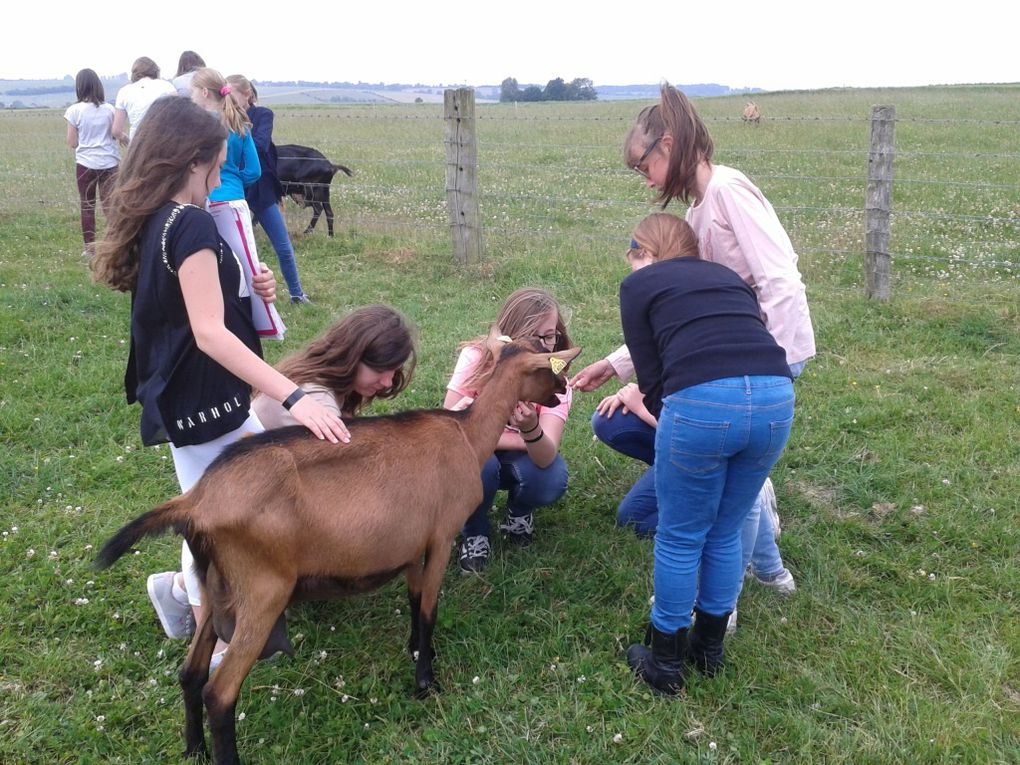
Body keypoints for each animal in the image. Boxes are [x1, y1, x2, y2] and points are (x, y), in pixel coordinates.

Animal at [95, 338, 583, 762]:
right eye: (551, 366)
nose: (563, 392)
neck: (466, 435)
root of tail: (196, 501)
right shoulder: (443, 536)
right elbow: (429, 608)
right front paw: (426, 682)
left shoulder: (411, 545)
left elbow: (414, 600)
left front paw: (415, 651)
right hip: (262, 590)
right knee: (220, 692)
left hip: (217, 588)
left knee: (191, 673)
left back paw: (194, 749)